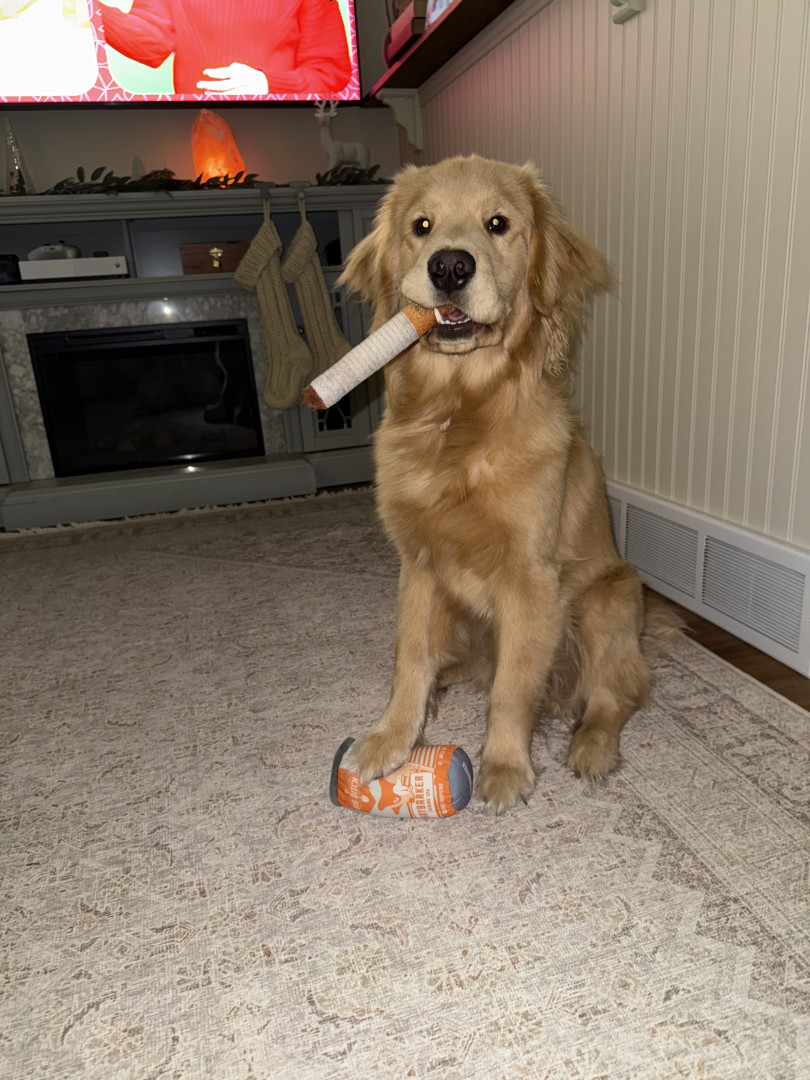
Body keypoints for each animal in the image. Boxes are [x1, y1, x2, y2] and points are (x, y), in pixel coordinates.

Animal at [338, 155, 655, 812]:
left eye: (498, 223)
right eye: (422, 225)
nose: (450, 266)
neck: (459, 416)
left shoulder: (531, 578)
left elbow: (512, 689)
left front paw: (506, 765)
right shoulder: (419, 564)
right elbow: (409, 659)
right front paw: (391, 739)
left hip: (609, 598)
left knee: (617, 693)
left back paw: (592, 747)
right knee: (462, 664)